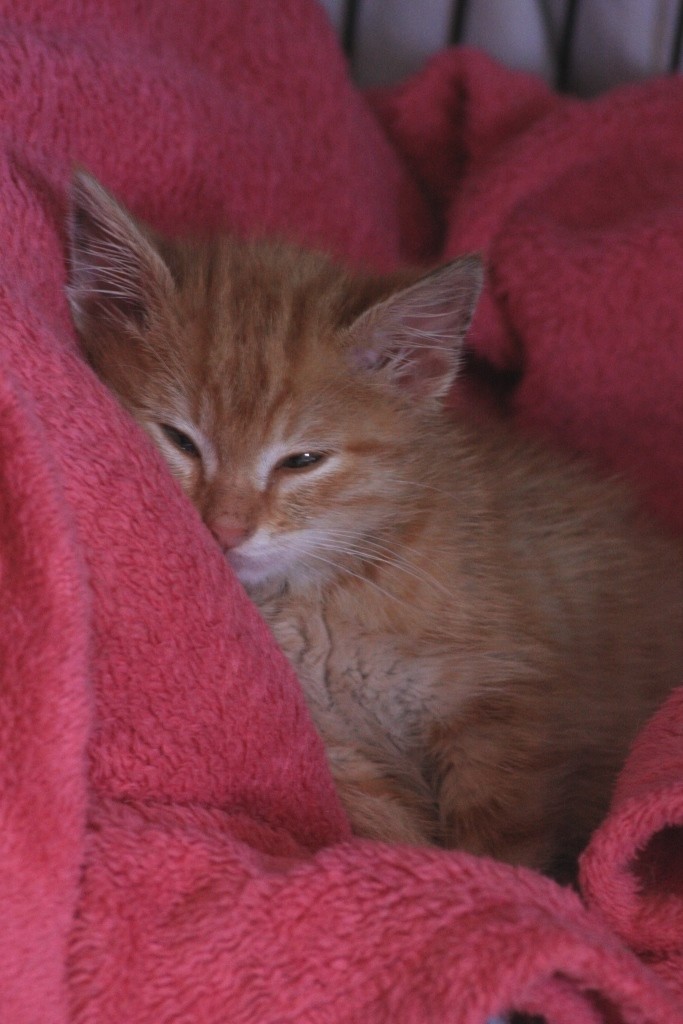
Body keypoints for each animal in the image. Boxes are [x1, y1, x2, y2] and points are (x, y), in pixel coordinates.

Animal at [68, 172, 683, 876]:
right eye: (180, 440)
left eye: (303, 461)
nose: (225, 529)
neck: (322, 596)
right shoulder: (338, 746)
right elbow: (392, 834)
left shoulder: (504, 704)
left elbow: (502, 840)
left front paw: (499, 883)